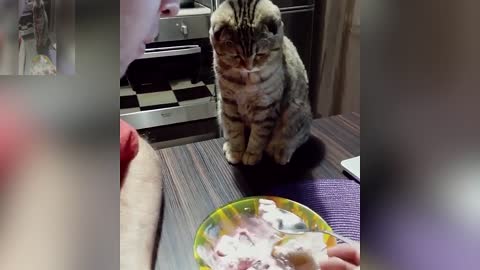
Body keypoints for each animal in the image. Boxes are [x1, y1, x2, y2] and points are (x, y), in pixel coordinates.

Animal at [210, 0, 312, 165]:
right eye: (235, 56)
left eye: (259, 54)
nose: (248, 67)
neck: (246, 80)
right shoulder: (228, 101)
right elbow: (234, 130)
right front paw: (236, 151)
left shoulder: (266, 106)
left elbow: (258, 136)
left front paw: (252, 154)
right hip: (221, 110)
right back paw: (228, 145)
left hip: (296, 113)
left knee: (297, 139)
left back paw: (280, 152)